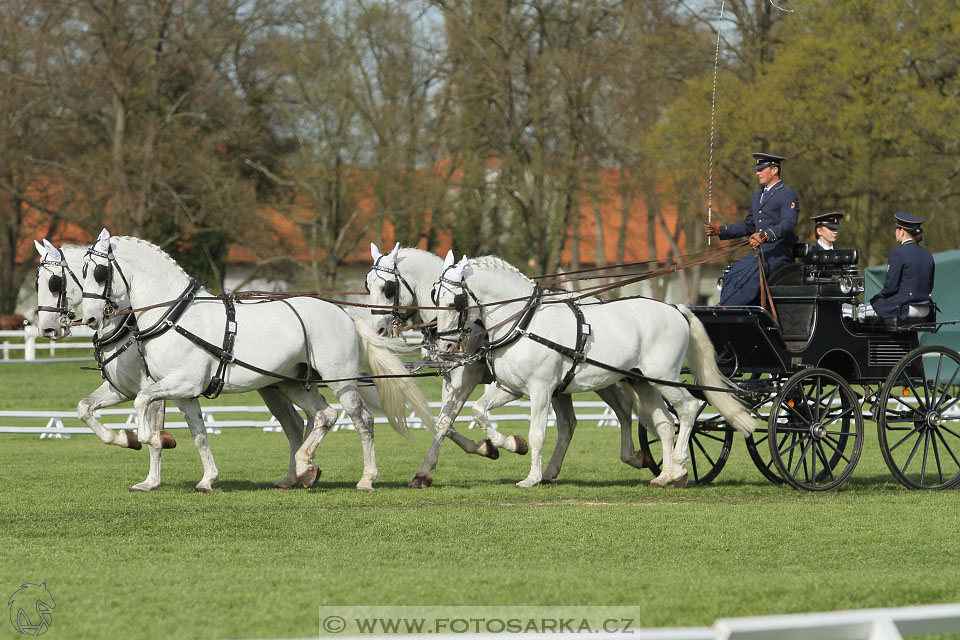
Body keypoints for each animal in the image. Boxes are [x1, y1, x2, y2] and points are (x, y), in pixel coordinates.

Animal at [33, 238, 310, 492]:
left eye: (55, 283)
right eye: (37, 282)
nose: (47, 329)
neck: (128, 327)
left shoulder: (155, 388)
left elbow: (153, 433)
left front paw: (152, 474)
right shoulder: (122, 389)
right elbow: (85, 409)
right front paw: (125, 438)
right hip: (273, 386)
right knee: (295, 424)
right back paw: (300, 474)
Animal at [79, 232, 436, 492]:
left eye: (99, 272)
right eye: (81, 272)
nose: (91, 318)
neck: (174, 316)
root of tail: (342, 311)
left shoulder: (181, 382)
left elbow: (142, 403)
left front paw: (151, 439)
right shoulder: (180, 391)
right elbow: (197, 432)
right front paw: (202, 477)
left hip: (342, 381)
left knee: (362, 420)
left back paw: (365, 478)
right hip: (293, 384)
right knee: (323, 416)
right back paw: (303, 467)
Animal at [366, 242, 652, 488]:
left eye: (387, 288)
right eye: (367, 286)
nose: (378, 329)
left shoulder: (465, 380)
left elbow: (446, 423)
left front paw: (504, 446)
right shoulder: (451, 381)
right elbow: (441, 422)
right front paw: (471, 453)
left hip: (600, 378)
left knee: (622, 409)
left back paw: (636, 457)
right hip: (563, 386)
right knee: (570, 423)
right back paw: (552, 471)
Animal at [432, 252, 752, 488]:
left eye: (454, 302)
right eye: (434, 297)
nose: (444, 346)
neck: (524, 321)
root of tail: (674, 308)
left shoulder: (541, 390)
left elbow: (537, 433)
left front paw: (531, 477)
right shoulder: (508, 388)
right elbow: (479, 412)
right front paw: (509, 444)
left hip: (665, 378)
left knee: (688, 409)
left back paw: (680, 464)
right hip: (642, 381)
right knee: (663, 422)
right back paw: (665, 475)